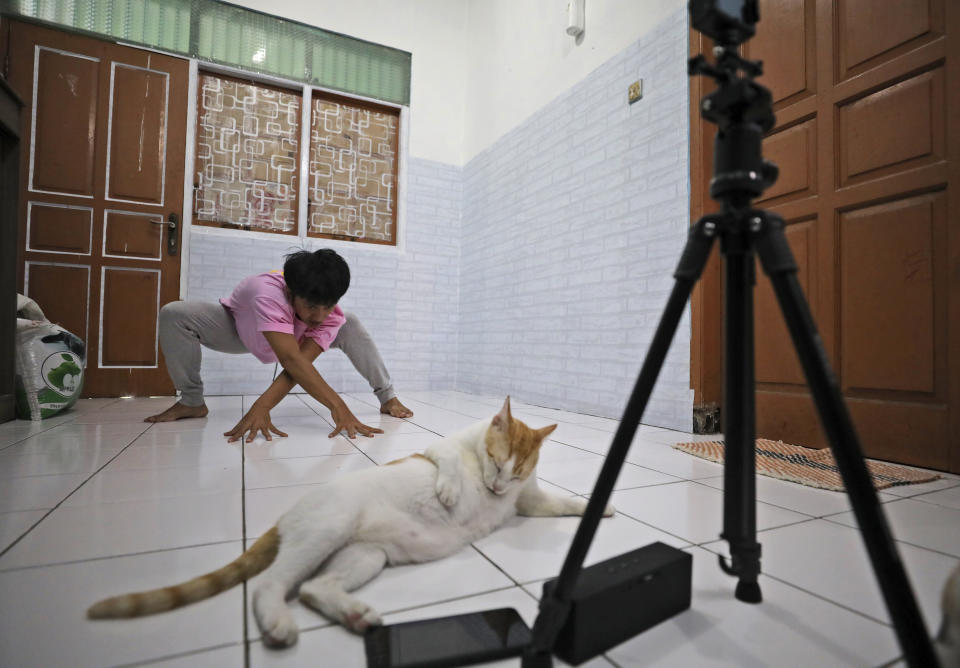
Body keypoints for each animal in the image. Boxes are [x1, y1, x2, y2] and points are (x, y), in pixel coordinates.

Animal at [90, 396, 616, 648]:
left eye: (516, 472)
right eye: (494, 461)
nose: (497, 489)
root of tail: (286, 515)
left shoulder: (529, 502)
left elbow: (561, 504)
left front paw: (599, 507)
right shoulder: (437, 449)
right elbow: (445, 459)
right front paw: (449, 490)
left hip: (365, 556)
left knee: (312, 588)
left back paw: (354, 615)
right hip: (328, 530)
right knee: (271, 585)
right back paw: (279, 624)